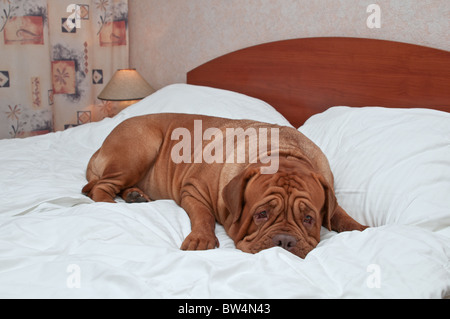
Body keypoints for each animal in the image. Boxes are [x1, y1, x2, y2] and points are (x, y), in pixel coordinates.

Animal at [82, 114, 368, 258]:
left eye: (309, 219)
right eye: (261, 214)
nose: (284, 241)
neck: (282, 153)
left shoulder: (328, 191)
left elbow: (340, 214)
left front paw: (361, 229)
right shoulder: (193, 191)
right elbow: (203, 216)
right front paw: (202, 239)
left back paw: (134, 195)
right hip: (139, 148)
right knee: (100, 187)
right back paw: (112, 205)